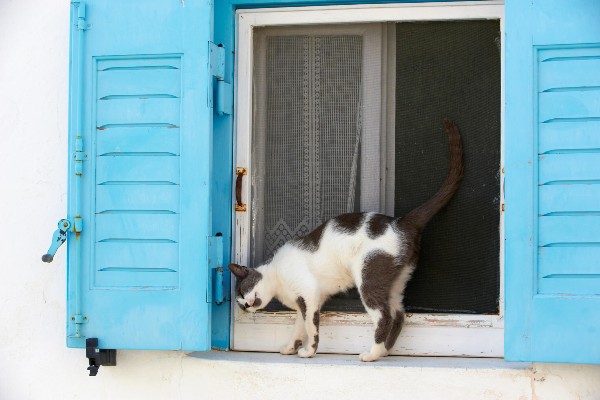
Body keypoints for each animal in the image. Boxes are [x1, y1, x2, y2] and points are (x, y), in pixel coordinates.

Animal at [230, 117, 464, 360]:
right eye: (241, 304)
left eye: (242, 292)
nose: (246, 306)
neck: (277, 278)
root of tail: (402, 222)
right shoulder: (306, 301)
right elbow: (299, 327)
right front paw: (291, 348)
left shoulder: (308, 294)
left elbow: (311, 327)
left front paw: (309, 351)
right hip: (396, 282)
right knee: (398, 315)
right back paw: (383, 351)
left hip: (369, 276)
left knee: (384, 316)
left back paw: (371, 354)